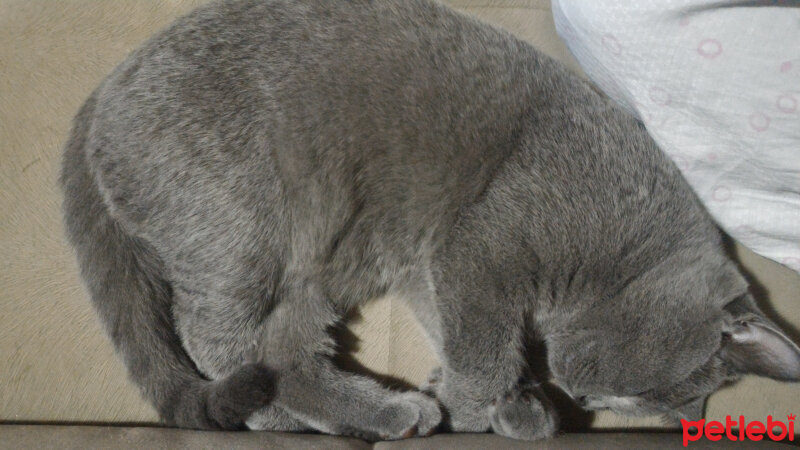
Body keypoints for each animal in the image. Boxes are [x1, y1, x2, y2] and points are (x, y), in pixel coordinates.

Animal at [57, 0, 800, 442]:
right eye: (637, 394)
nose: (586, 396)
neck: (622, 252)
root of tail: (98, 94)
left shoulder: (431, 269)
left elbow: (459, 333)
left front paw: (514, 405)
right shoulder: (485, 251)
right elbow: (486, 348)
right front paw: (478, 410)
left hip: (319, 264)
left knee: (283, 347)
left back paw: (377, 412)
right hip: (241, 227)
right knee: (214, 336)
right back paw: (279, 412)